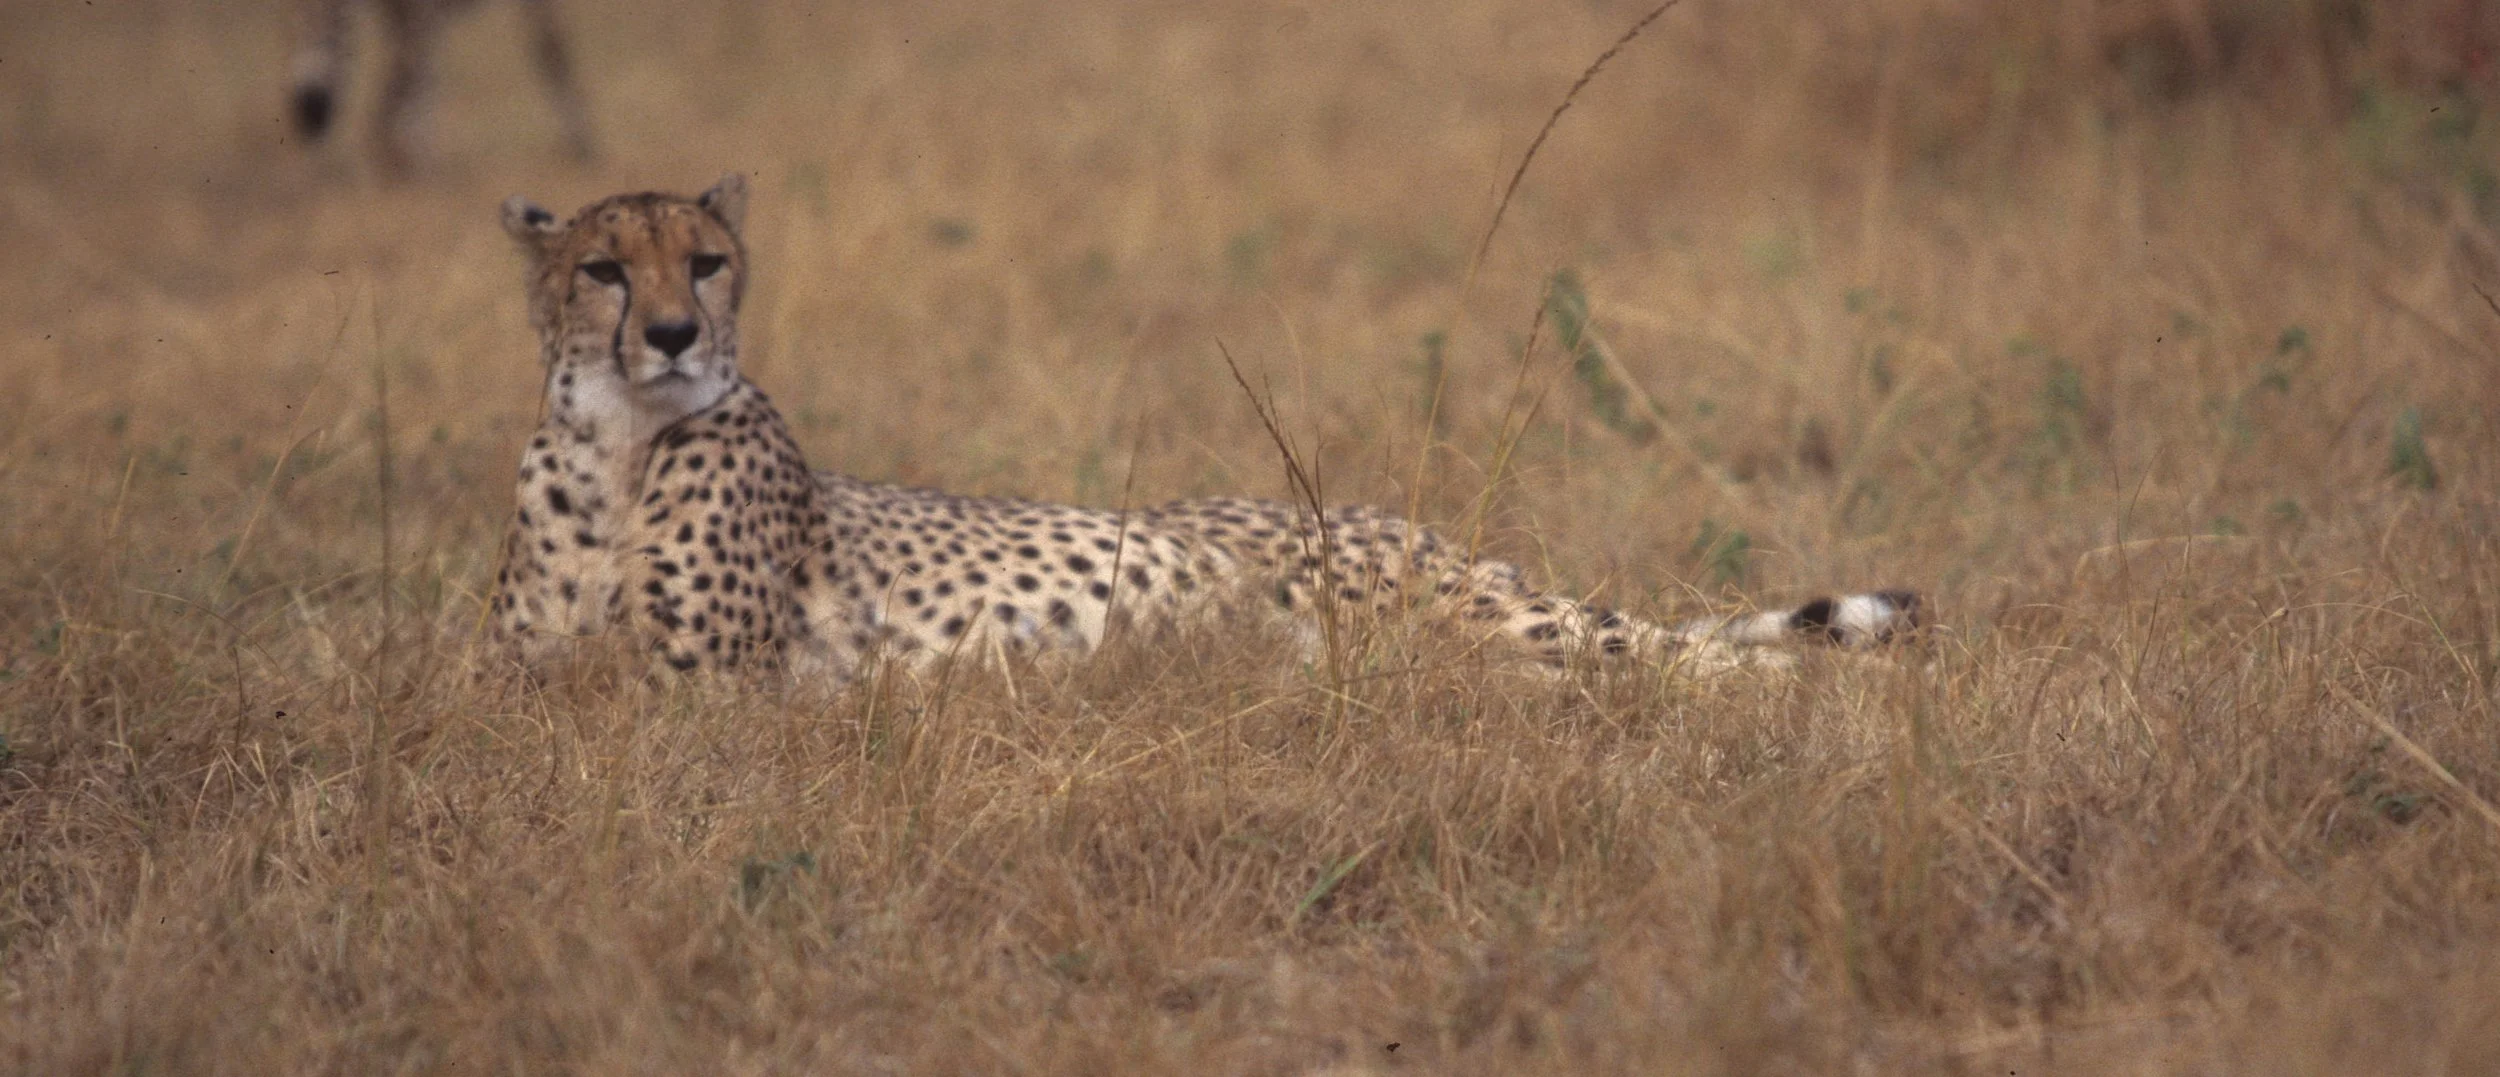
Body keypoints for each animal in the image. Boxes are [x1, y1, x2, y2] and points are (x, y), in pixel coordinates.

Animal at [487, 175, 1922, 683]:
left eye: (708, 261)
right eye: (605, 271)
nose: (676, 334)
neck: (620, 447)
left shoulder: (723, 687)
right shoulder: (528, 685)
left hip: (1459, 617)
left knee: (1676, 659)